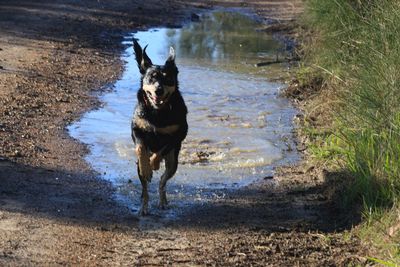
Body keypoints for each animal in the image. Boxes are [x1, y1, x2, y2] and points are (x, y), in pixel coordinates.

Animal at [131, 39, 188, 216]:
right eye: (151, 77)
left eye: (168, 78)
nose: (159, 90)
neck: (158, 112)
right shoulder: (137, 129)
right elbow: (140, 148)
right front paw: (147, 167)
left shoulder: (177, 134)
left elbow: (161, 150)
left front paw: (153, 163)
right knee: (145, 189)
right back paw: (143, 207)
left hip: (173, 161)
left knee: (163, 181)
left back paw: (163, 201)